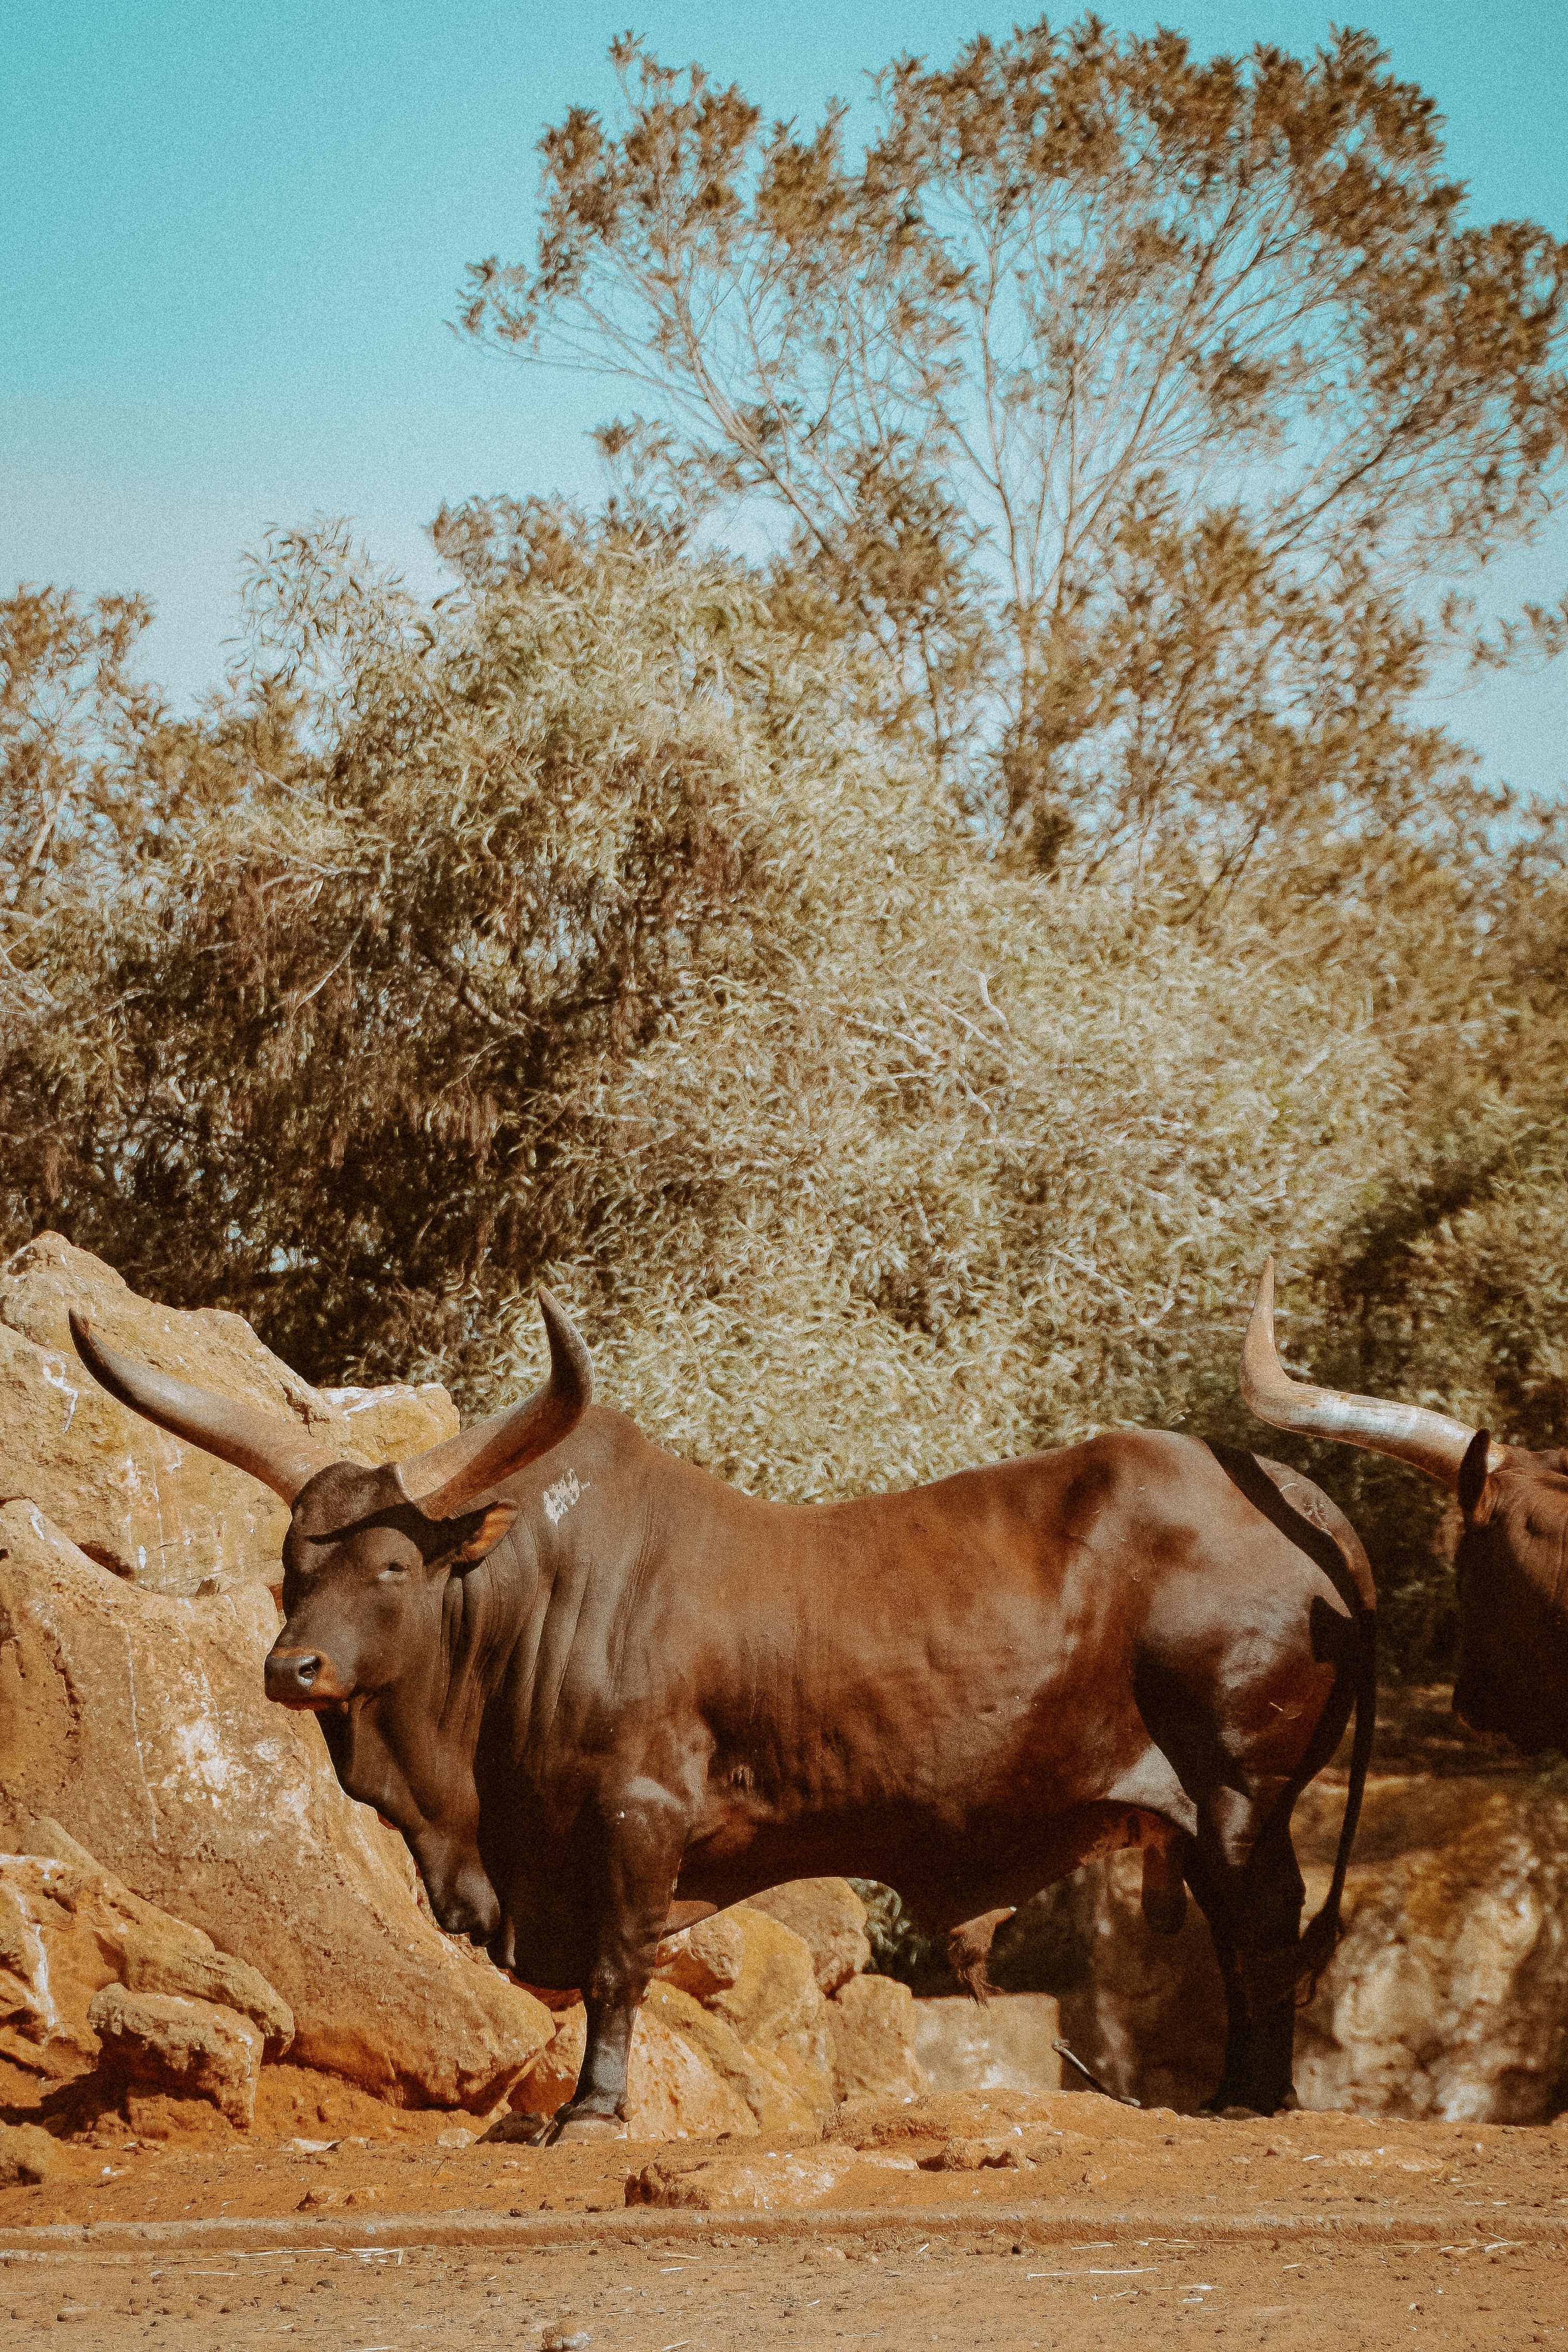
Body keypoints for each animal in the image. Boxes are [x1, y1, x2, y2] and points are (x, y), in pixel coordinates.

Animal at [72, 1290, 1375, 2129]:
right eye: (293, 1563)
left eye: (392, 1568)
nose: (293, 1670)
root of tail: (1289, 1495)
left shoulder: (635, 1820)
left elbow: (615, 1970)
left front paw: (592, 2111)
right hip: (1210, 1810)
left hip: (1243, 1791)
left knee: (1262, 1932)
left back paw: (1255, 2100)